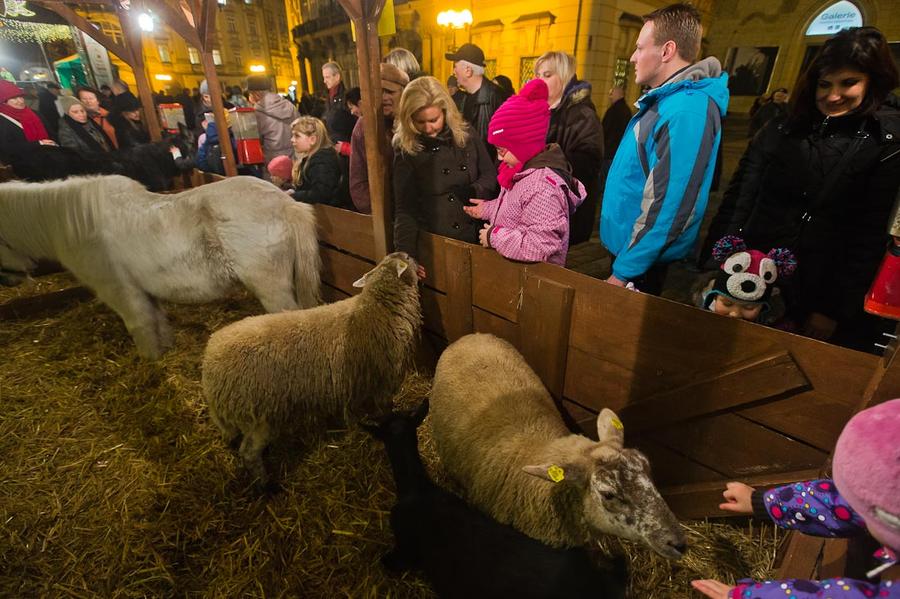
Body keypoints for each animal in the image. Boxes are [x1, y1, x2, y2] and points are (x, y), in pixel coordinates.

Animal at [0, 176, 324, 358]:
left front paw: (150, 363)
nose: (10, 280)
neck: (76, 219)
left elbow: (140, 327)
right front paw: (166, 350)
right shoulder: (145, 292)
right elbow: (157, 321)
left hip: (271, 288)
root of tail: (286, 204)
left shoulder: (122, 293)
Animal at [202, 251, 420, 486]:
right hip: (258, 415)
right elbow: (386, 410)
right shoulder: (383, 382)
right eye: (407, 258)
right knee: (249, 453)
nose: (408, 255)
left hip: (236, 416)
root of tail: (209, 362)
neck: (376, 307)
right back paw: (264, 483)